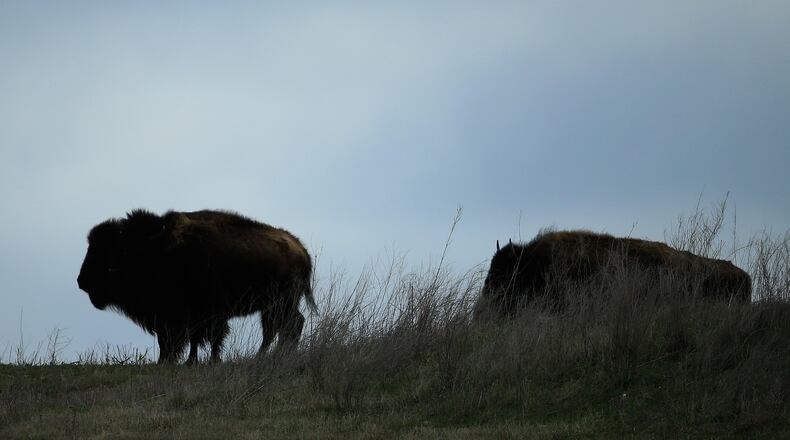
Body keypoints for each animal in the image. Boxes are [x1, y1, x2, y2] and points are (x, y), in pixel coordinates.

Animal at [77, 209, 316, 364]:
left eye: (108, 255)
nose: (81, 281)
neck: (157, 249)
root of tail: (301, 249)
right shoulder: (183, 315)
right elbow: (192, 339)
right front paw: (186, 361)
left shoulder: (201, 312)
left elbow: (209, 336)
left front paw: (210, 361)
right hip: (273, 306)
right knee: (283, 326)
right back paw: (275, 355)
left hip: (280, 303)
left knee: (284, 326)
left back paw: (270, 355)